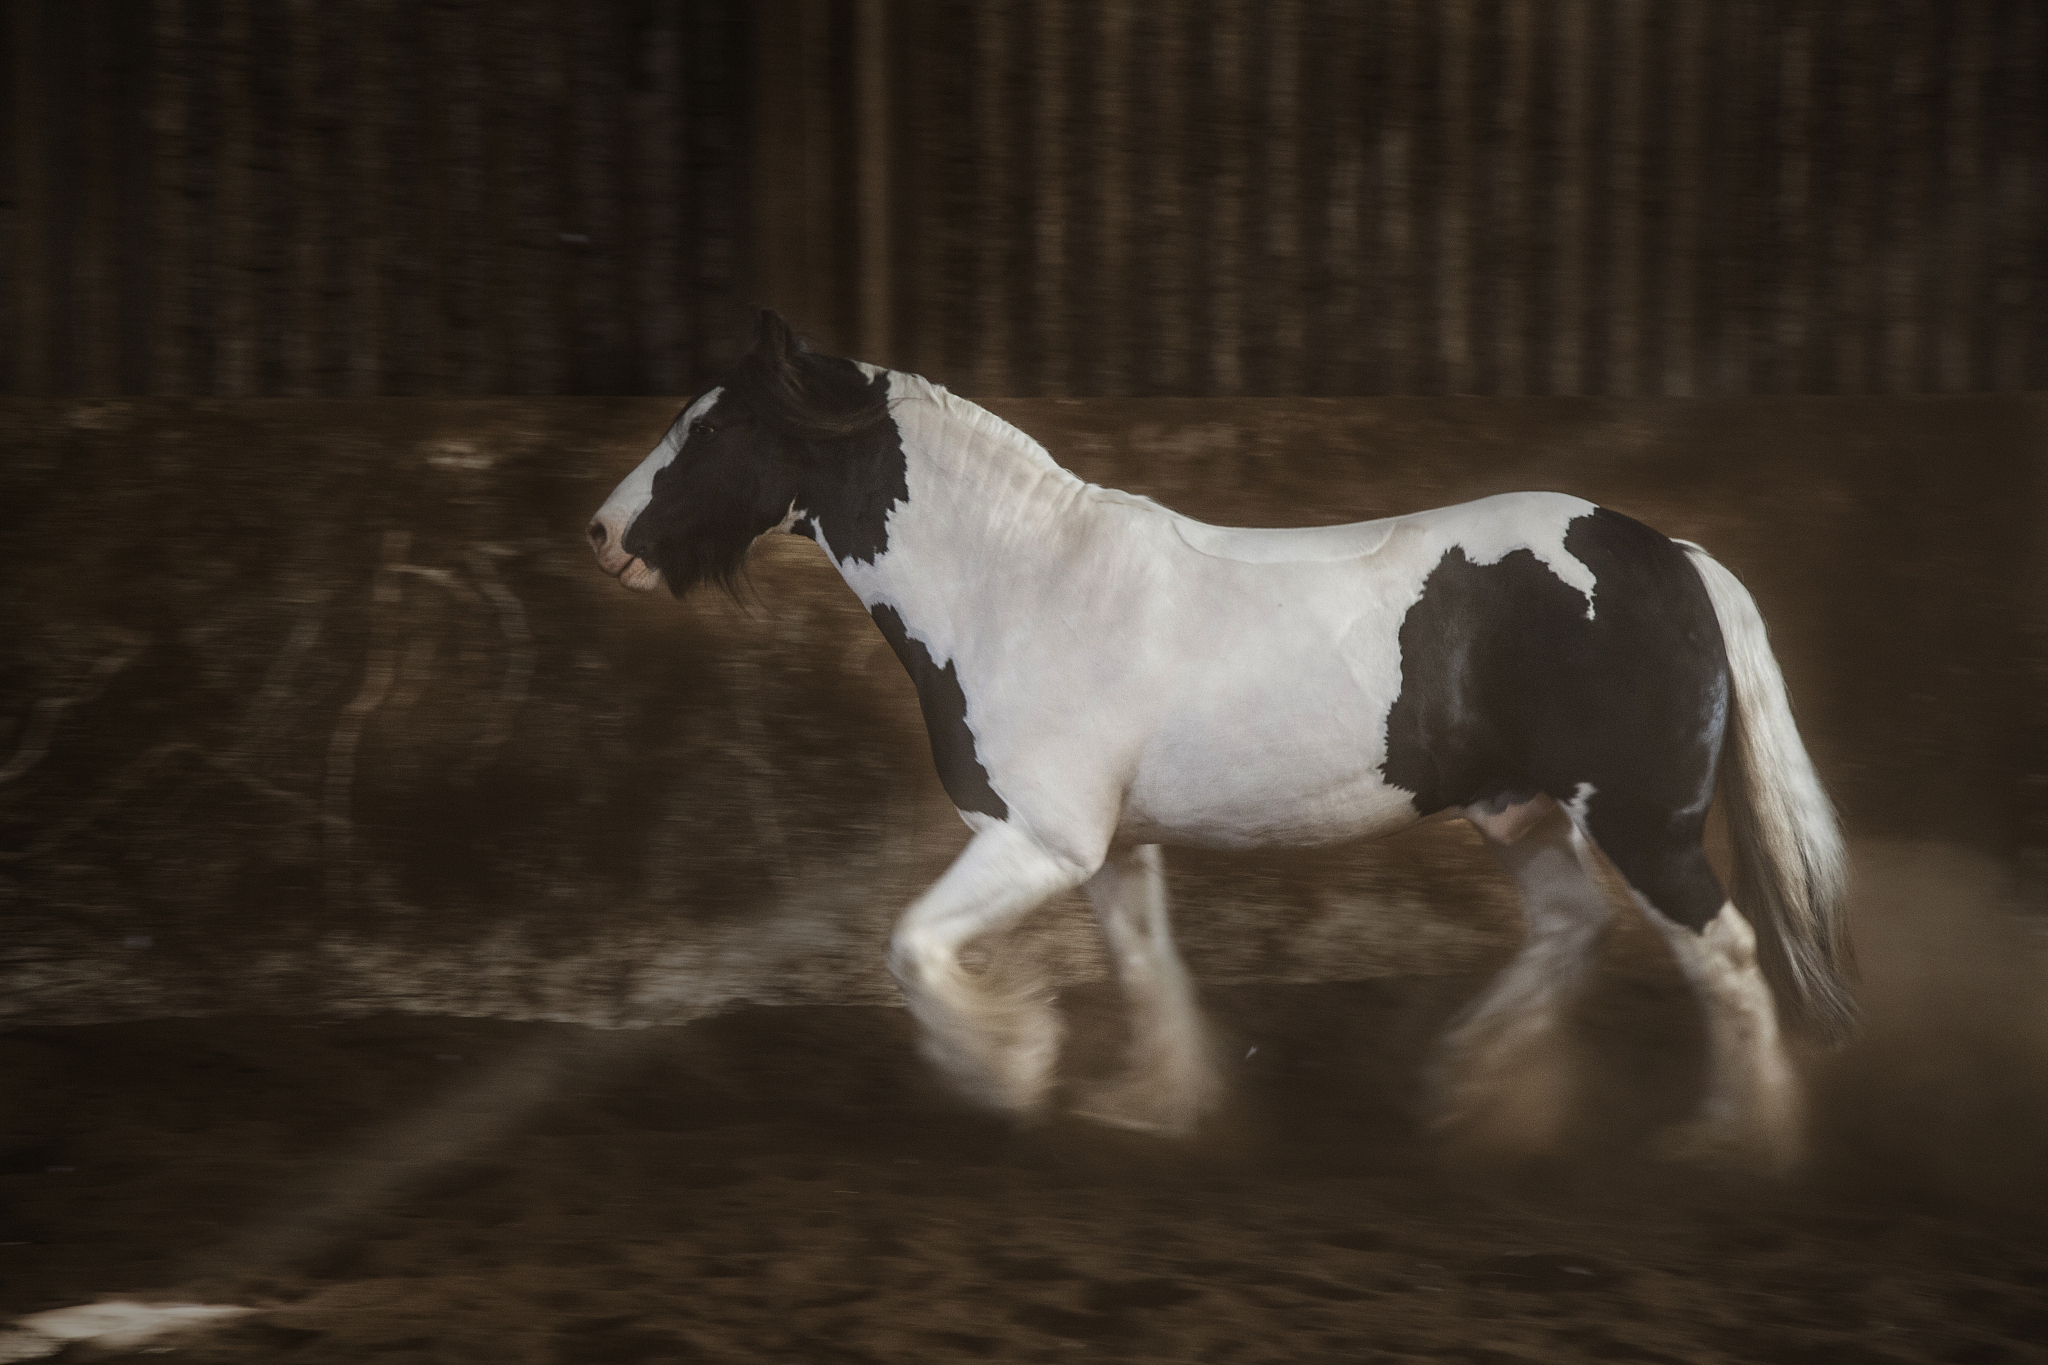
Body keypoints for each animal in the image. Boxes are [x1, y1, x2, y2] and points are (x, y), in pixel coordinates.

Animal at [587, 311, 1854, 1173]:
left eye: (715, 425)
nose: (601, 534)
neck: (1012, 586)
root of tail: (1673, 555)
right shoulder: (1108, 852)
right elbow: (1146, 972)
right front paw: (1150, 1108)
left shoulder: (1036, 842)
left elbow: (909, 948)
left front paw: (1013, 1065)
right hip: (1519, 811)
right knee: (1569, 929)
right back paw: (1465, 1088)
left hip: (1640, 824)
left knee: (1723, 958)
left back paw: (1732, 1146)